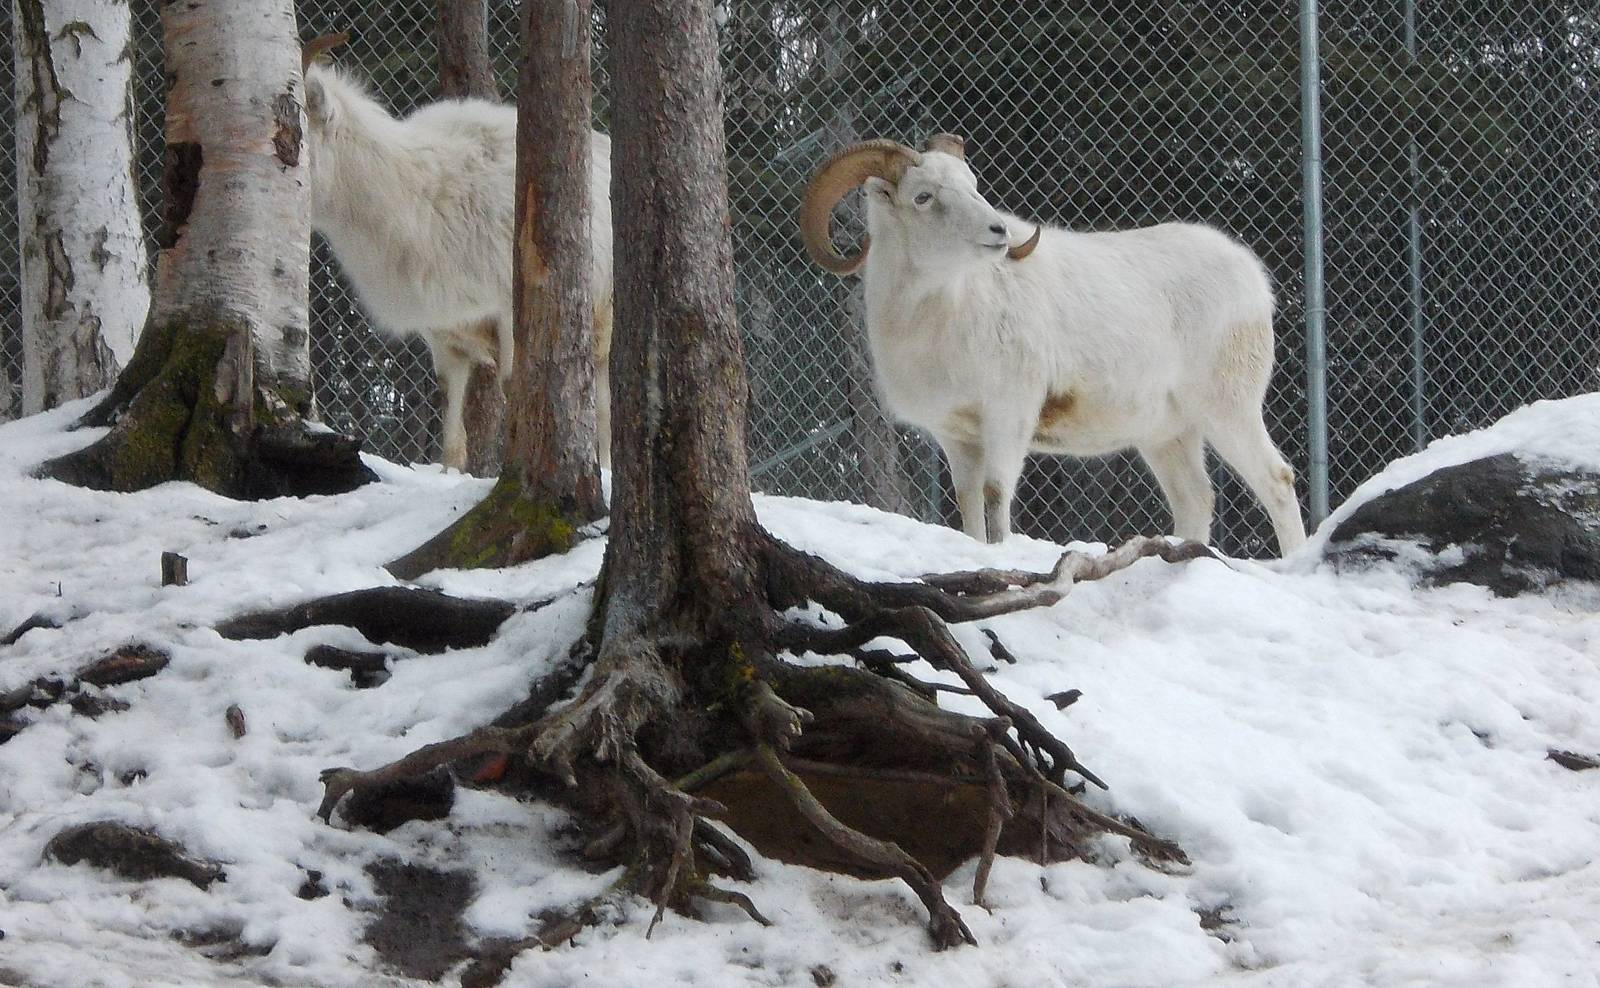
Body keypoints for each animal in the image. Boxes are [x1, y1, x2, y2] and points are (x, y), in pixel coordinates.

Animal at [799, 134, 1307, 556]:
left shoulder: (1009, 418)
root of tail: (1254, 280)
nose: (998, 232)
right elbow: (968, 504)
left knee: (1277, 481)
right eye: (923, 196)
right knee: (1195, 500)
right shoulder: (957, 437)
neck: (944, 317)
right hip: (1167, 435)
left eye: (972, 185)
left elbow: (996, 495)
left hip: (1227, 410)